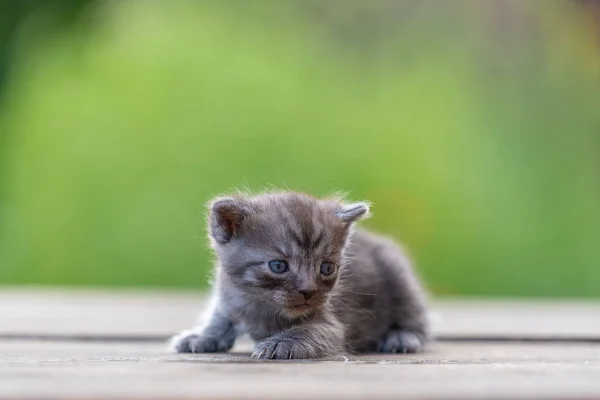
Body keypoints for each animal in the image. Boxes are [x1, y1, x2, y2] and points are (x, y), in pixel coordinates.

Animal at [171, 191, 428, 360]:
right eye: (278, 266)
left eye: (327, 268)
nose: (309, 290)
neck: (261, 307)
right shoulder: (228, 299)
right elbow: (219, 319)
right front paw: (201, 336)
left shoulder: (332, 327)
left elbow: (308, 332)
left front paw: (281, 342)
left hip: (398, 272)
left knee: (416, 318)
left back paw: (402, 337)